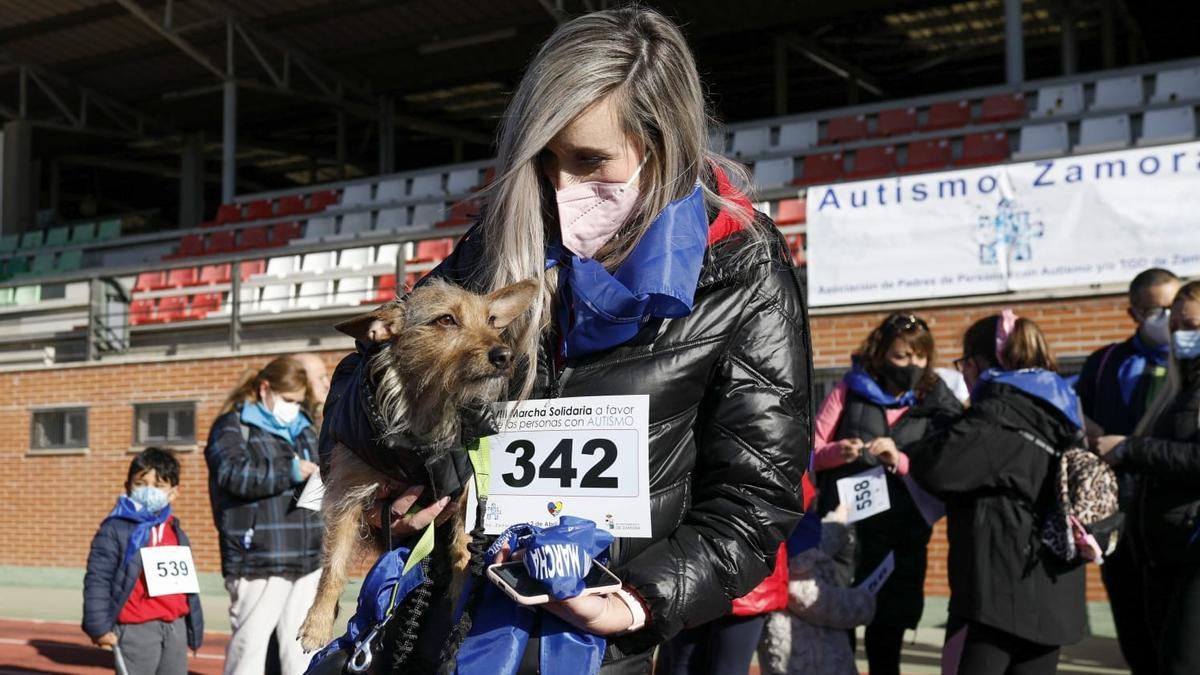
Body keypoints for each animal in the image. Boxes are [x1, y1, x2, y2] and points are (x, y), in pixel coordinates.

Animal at [297, 276, 542, 648]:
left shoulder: (463, 498)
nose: (504, 355)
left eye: (490, 321)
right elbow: (334, 566)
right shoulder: (347, 497)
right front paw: (318, 623)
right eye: (446, 320)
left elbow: (462, 552)